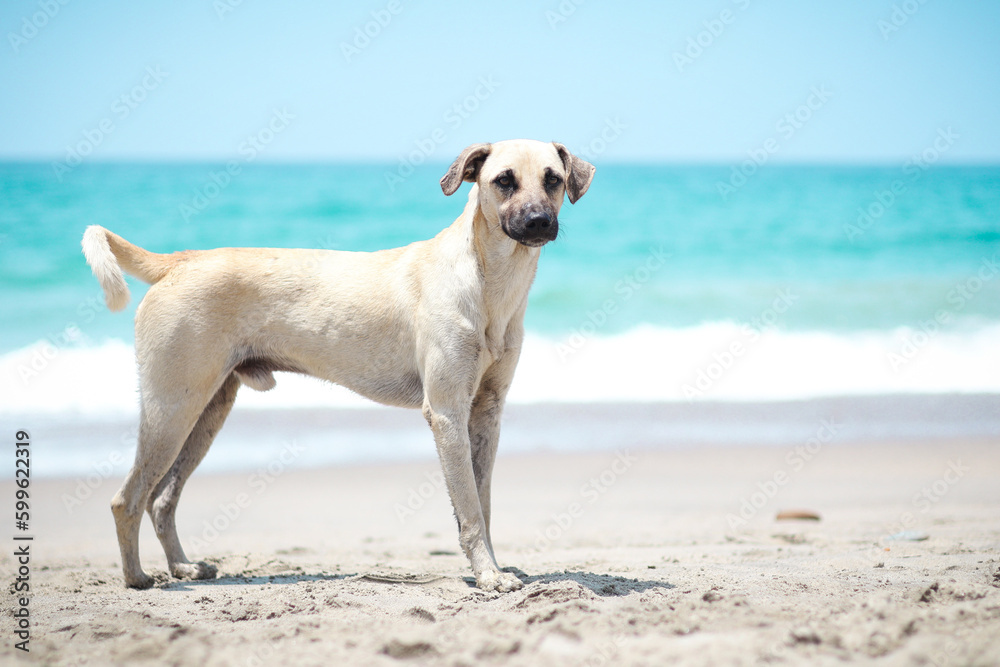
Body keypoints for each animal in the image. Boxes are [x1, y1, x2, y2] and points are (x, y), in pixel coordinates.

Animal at [82, 138, 592, 592]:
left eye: (553, 179)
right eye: (504, 180)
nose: (539, 221)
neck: (488, 282)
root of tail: (179, 262)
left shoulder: (485, 412)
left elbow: (482, 503)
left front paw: (494, 566)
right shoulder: (448, 414)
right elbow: (468, 509)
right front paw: (488, 574)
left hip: (207, 412)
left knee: (162, 500)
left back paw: (182, 567)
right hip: (172, 408)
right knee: (127, 500)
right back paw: (137, 577)